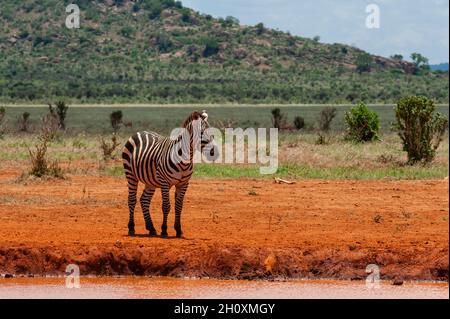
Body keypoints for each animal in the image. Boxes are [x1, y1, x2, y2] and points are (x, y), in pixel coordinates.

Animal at [121, 111, 216, 239]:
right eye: (201, 133)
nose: (215, 153)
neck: (183, 158)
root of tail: (140, 132)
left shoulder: (183, 184)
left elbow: (179, 206)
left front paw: (178, 230)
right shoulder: (165, 182)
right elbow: (166, 206)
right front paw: (164, 230)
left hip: (150, 181)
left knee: (144, 200)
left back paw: (151, 228)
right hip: (130, 174)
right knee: (132, 200)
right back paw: (131, 228)